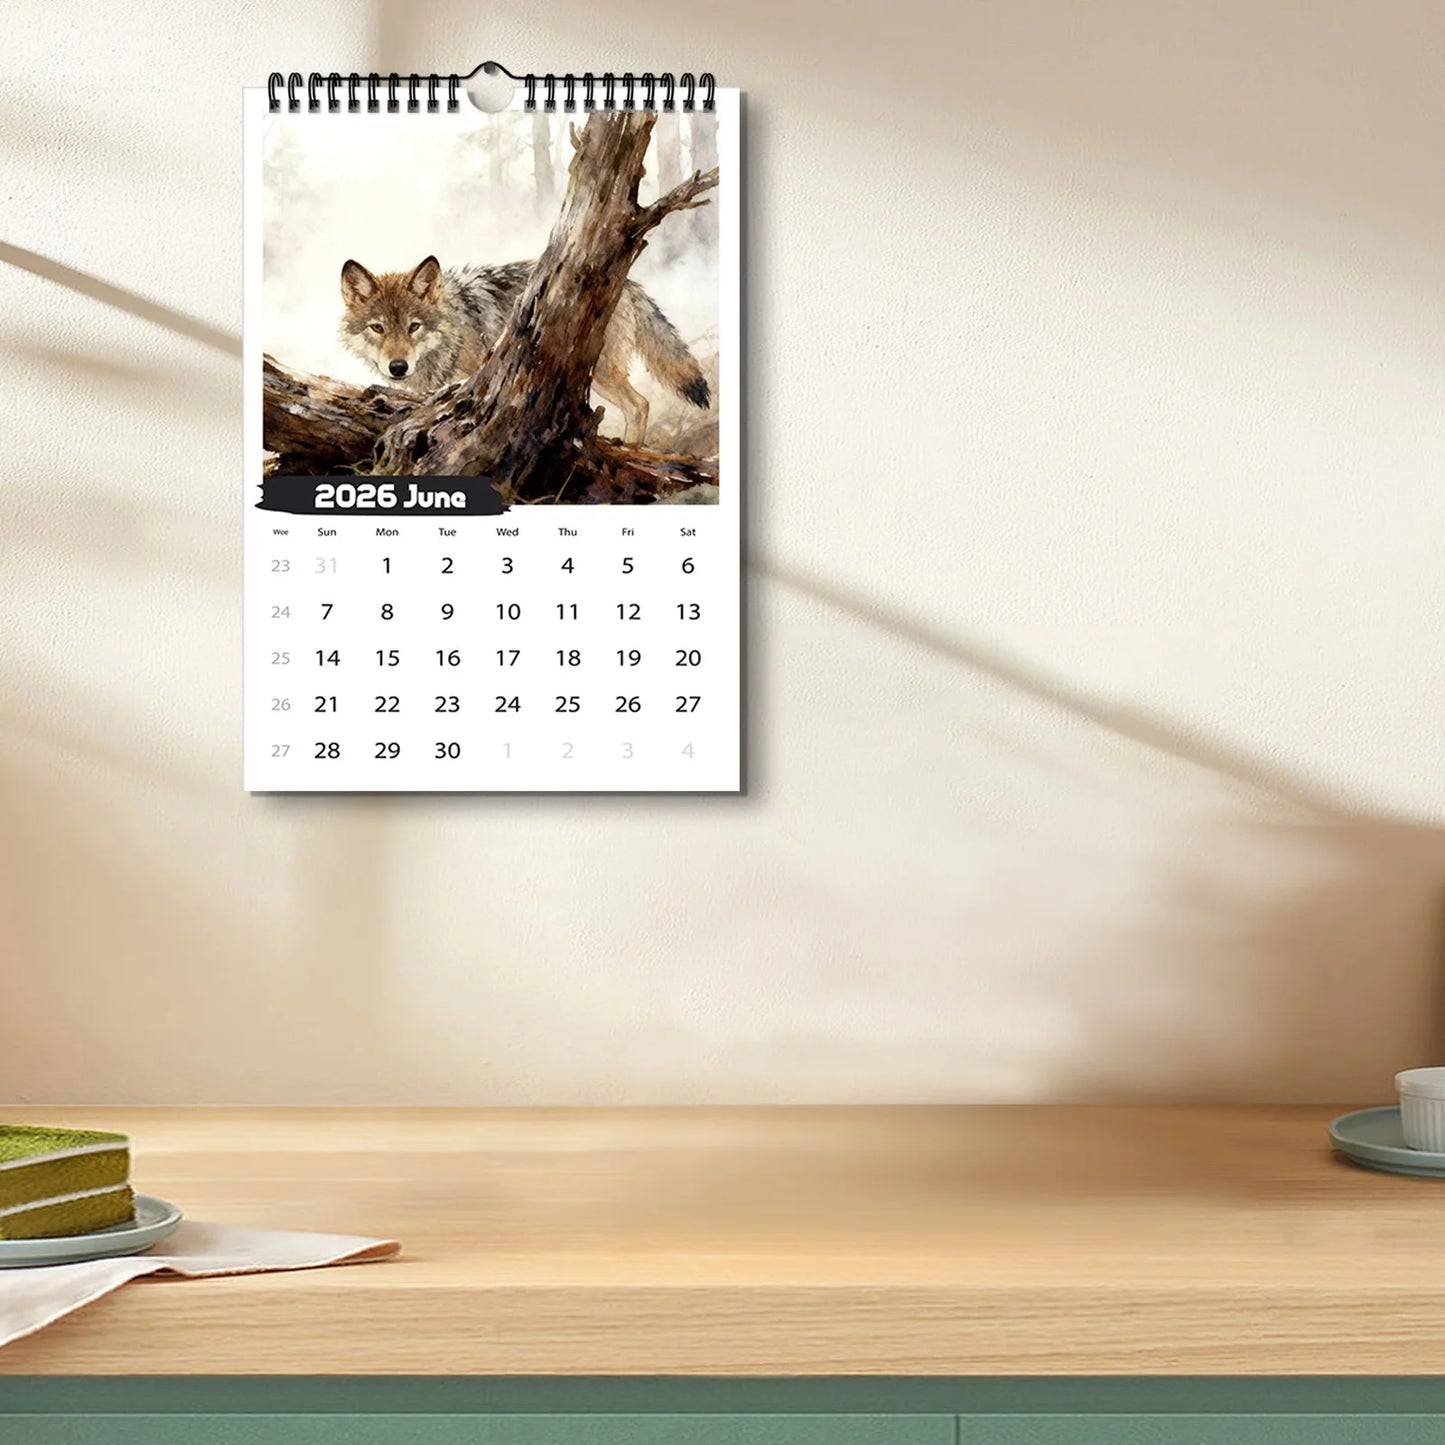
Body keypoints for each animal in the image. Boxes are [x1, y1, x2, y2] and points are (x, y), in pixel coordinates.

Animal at [338, 255, 710, 446]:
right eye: (378, 328)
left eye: (414, 327)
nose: (397, 367)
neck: (454, 331)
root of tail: (630, 283)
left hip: (601, 373)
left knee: (639, 405)